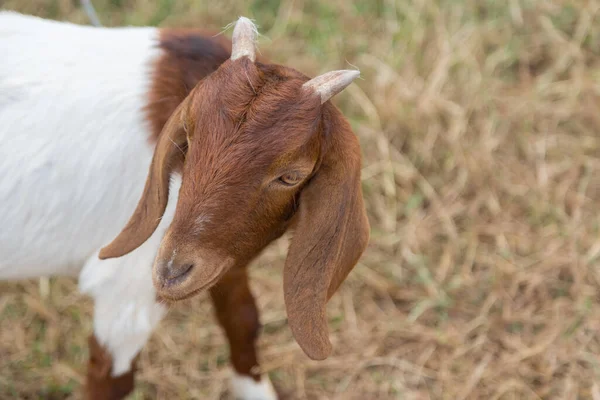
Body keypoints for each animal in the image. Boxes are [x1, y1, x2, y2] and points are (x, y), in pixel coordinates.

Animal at [0, 10, 370, 398]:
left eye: (291, 176)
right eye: (188, 140)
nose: (170, 273)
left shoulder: (222, 257)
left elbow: (242, 319)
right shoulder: (127, 287)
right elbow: (111, 378)